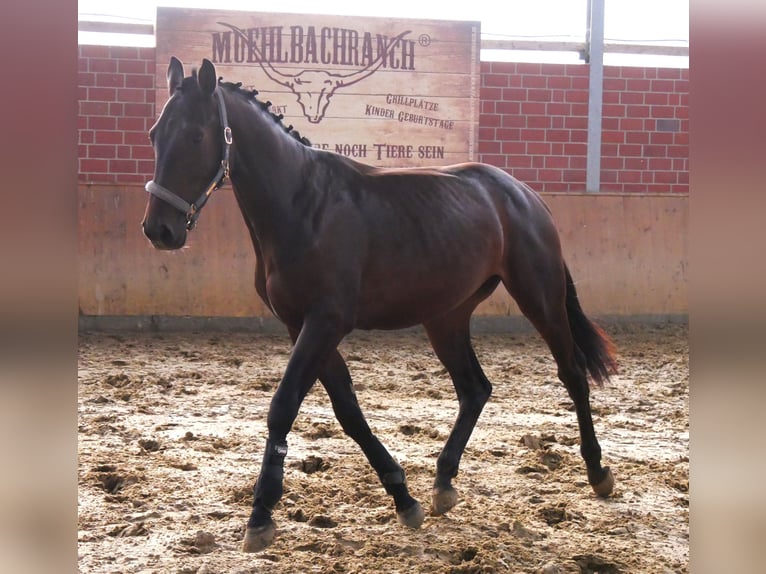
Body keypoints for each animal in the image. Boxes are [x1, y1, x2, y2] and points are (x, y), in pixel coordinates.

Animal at [141, 58, 616, 552]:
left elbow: (284, 404)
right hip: (445, 317)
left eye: (197, 135)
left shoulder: (325, 321)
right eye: (155, 133)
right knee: (475, 388)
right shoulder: (301, 325)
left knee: (572, 374)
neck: (302, 206)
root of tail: (524, 194)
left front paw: (260, 514)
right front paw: (403, 497)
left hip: (539, 297)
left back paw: (598, 471)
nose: (160, 230)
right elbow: (347, 410)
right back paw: (443, 483)